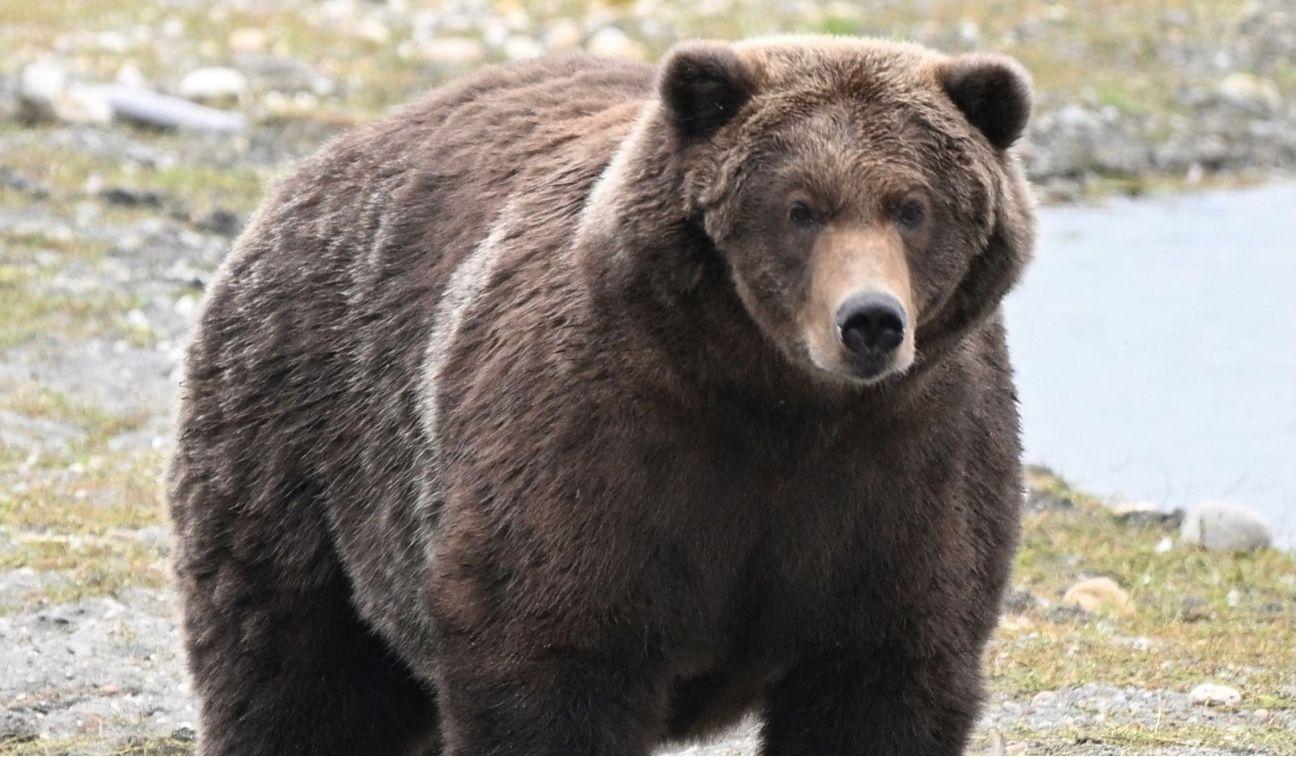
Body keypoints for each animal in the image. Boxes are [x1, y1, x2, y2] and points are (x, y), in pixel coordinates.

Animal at [167, 35, 1035, 755]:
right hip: (305, 452)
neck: (777, 404)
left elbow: (884, 677)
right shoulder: (598, 446)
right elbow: (549, 656)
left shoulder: (907, 471)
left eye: (912, 206)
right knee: (296, 672)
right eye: (799, 207)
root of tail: (306, 172)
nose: (870, 322)